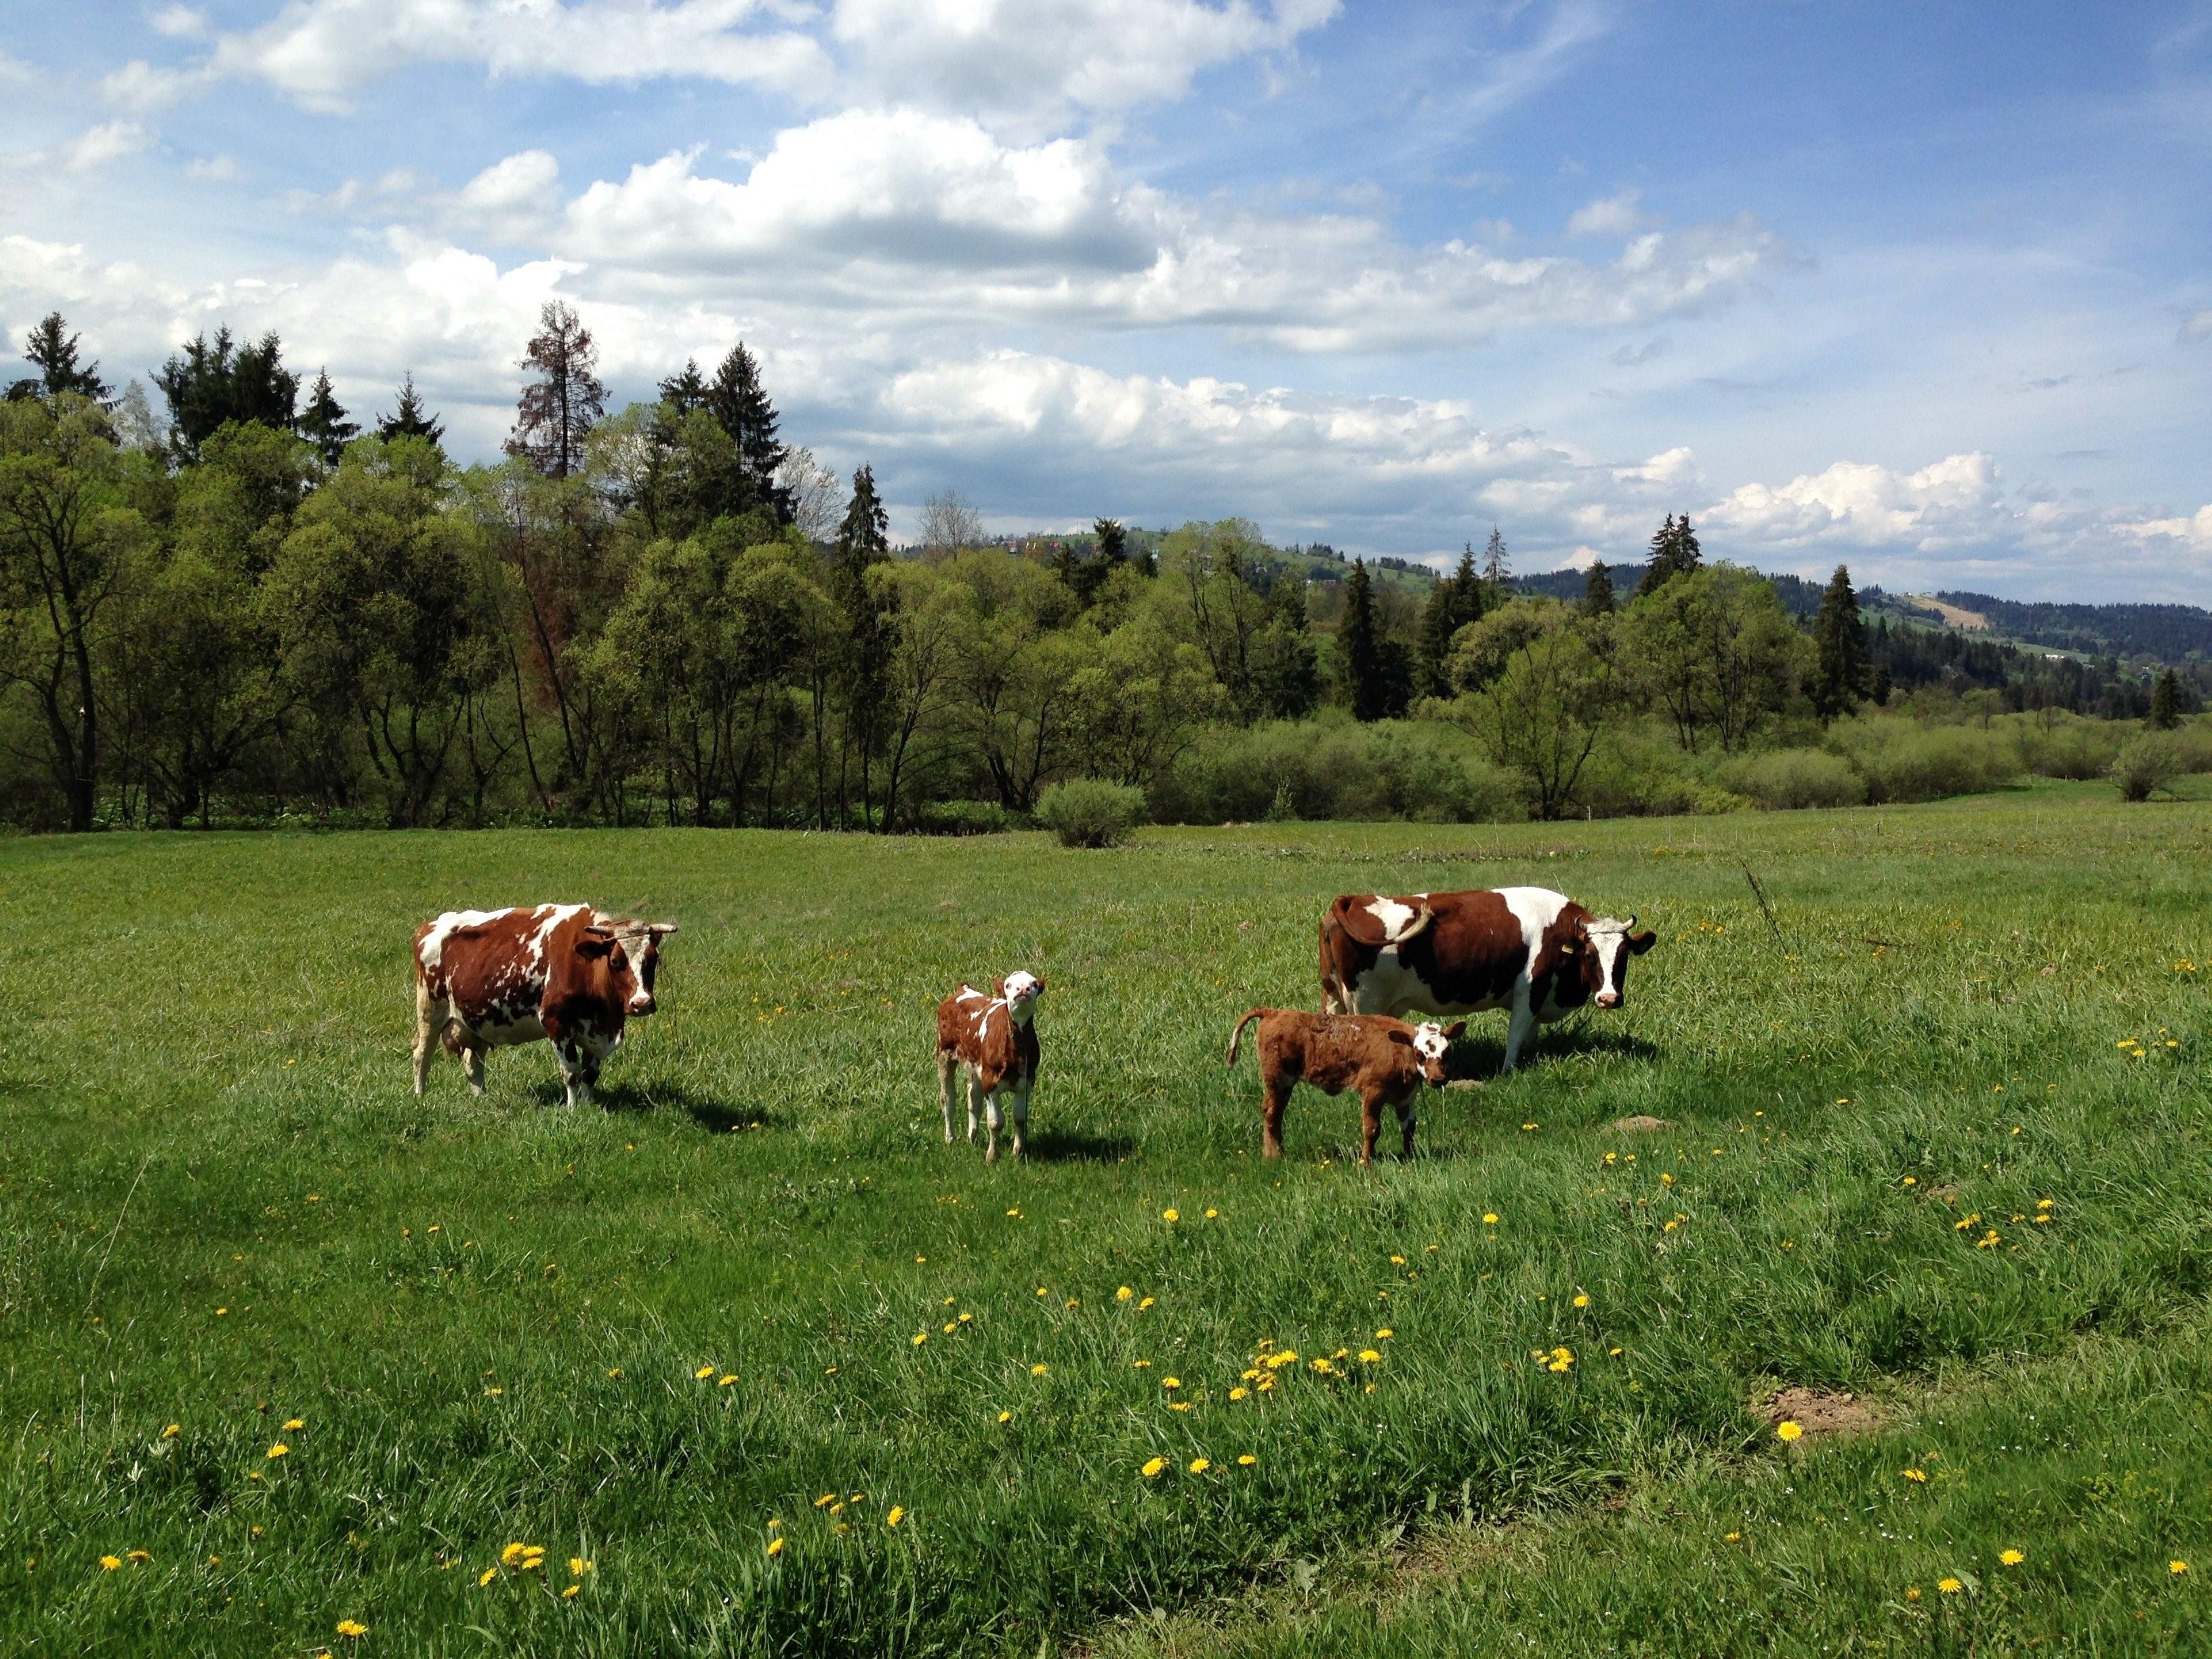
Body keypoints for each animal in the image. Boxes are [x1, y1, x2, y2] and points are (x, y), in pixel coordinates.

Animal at [413, 902, 672, 1110]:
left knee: (472, 1062)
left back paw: (482, 1099)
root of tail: (429, 927)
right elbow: (572, 1072)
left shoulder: (595, 1028)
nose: (642, 1003)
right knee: (421, 1054)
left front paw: (589, 1106)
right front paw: (573, 1110)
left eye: (653, 960)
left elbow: (590, 1074)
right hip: (430, 1010)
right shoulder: (557, 1023)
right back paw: (420, 1096)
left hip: (476, 1020)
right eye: (616, 961)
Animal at [928, 968, 1040, 1159]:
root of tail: (964, 989)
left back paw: (972, 1137)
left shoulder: (1026, 1082)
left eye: (1034, 984)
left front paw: (1017, 1153)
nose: (1023, 989)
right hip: (944, 1054)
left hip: (976, 1066)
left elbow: (1020, 1119)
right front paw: (992, 1156)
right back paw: (951, 1138)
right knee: (947, 1098)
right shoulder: (990, 1081)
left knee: (973, 1098)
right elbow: (995, 1122)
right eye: (1008, 985)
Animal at [1221, 1008, 1460, 1159]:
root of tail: (1273, 1012)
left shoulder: (1406, 1097)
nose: (1438, 1079)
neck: (1399, 1051)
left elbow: (1409, 1128)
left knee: (1274, 1112)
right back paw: (1275, 1156)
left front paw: (1410, 1157)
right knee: (1272, 1113)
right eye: (1420, 1053)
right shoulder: (1372, 1092)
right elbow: (1372, 1129)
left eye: (1447, 1052)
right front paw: (1366, 1162)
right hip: (1278, 1079)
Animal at [1309, 884, 1663, 1079]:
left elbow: (1529, 1038)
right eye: (1589, 955)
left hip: (1334, 995)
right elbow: (1515, 1036)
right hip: (1365, 1002)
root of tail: (1354, 899)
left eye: (1623, 956)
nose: (1609, 998)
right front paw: (1507, 1073)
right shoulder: (1528, 992)